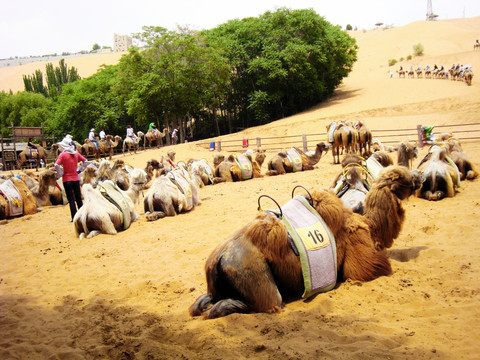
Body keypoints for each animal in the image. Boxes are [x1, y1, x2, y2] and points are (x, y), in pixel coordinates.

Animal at [189, 165, 422, 318]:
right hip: (253, 273)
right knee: (267, 302)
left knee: (202, 303)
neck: (368, 221)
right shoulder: (361, 261)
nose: (419, 175)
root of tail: (218, 259)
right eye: (403, 177)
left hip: (217, 283)